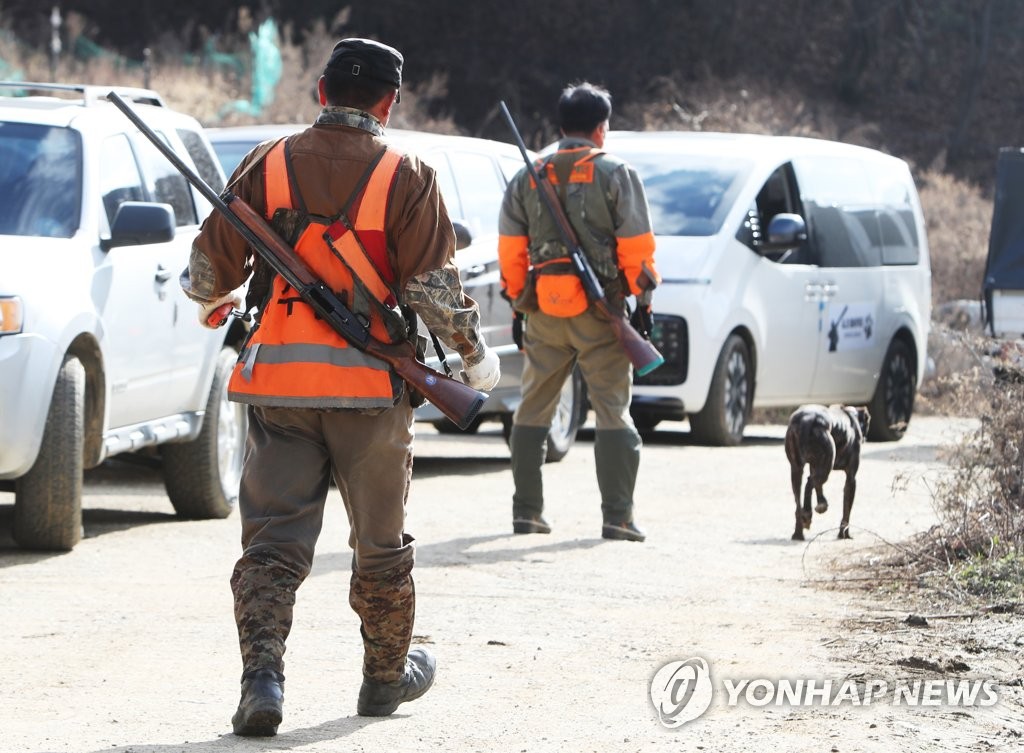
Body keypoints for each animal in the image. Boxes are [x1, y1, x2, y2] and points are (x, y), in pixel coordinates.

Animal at [786, 405, 868, 540]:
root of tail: (806, 420)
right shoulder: (851, 479)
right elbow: (846, 510)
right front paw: (844, 534)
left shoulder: (815, 467)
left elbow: (818, 488)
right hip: (827, 464)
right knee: (810, 482)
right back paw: (809, 512)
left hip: (796, 470)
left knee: (799, 502)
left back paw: (799, 531)